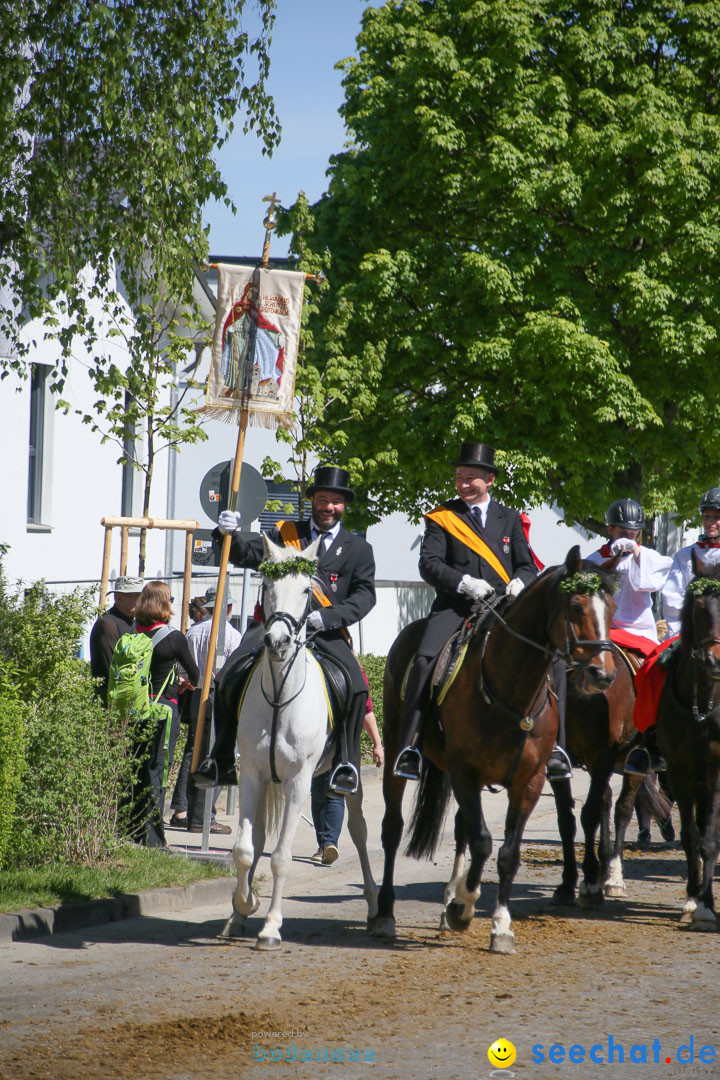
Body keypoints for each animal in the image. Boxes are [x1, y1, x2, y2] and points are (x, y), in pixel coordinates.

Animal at [221, 535, 379, 950]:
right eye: (266, 585)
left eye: (308, 590)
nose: (277, 642)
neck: (280, 693)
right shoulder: (252, 774)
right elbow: (246, 850)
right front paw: (243, 906)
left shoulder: (298, 781)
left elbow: (281, 858)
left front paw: (271, 927)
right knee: (259, 837)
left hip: (348, 773)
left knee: (359, 832)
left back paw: (377, 909)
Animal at [371, 548, 621, 954]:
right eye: (576, 605)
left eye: (612, 608)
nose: (603, 675)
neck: (512, 687)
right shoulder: (465, 773)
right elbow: (484, 841)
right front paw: (465, 907)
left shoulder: (528, 782)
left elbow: (507, 853)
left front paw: (498, 924)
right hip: (397, 747)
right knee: (392, 829)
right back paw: (385, 914)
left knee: (460, 828)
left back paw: (447, 902)